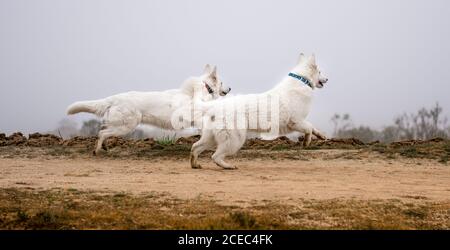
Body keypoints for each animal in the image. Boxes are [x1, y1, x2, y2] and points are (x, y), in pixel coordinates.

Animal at [67, 64, 230, 154]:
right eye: (222, 82)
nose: (230, 88)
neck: (203, 90)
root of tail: (115, 98)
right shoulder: (194, 118)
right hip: (126, 126)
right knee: (102, 133)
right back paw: (98, 150)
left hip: (121, 125)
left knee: (104, 130)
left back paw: (104, 147)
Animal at [190, 53, 326, 170]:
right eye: (320, 72)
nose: (327, 79)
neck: (302, 80)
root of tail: (217, 105)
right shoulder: (295, 121)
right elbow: (308, 128)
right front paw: (306, 142)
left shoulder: (299, 121)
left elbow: (312, 127)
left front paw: (321, 135)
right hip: (235, 140)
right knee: (215, 156)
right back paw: (228, 166)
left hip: (211, 138)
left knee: (195, 147)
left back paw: (195, 164)